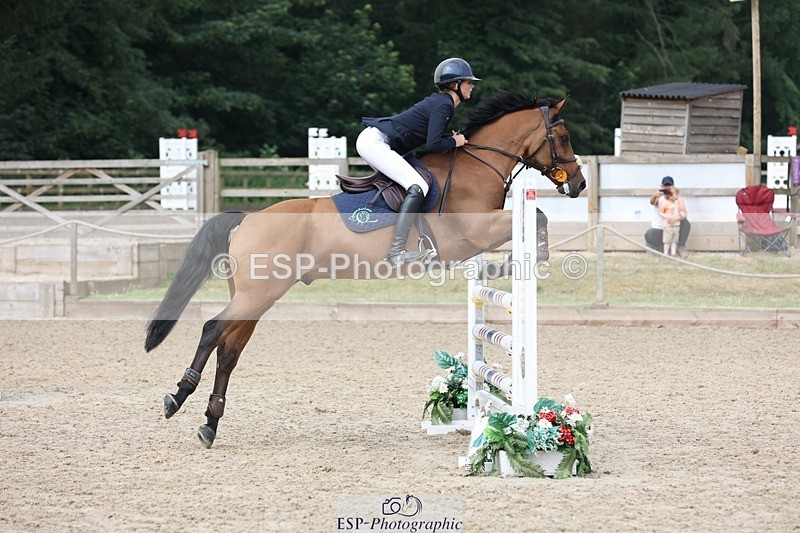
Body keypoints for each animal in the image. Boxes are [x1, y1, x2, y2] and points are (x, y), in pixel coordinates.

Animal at [144, 90, 586, 448]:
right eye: (564, 138)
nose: (579, 184)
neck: (478, 165)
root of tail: (248, 217)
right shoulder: (472, 232)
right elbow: (538, 214)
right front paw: (533, 255)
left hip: (256, 297)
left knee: (229, 351)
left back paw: (210, 424)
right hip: (258, 293)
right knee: (211, 330)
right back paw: (177, 397)